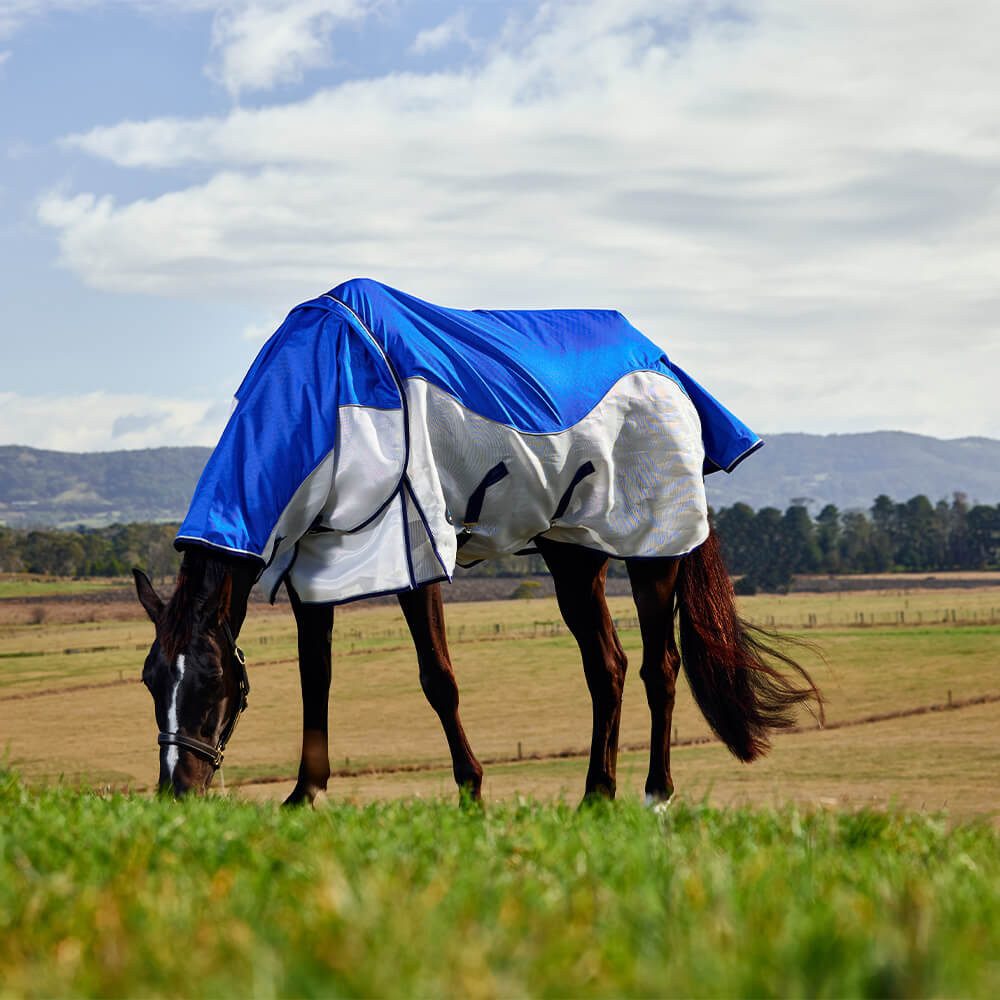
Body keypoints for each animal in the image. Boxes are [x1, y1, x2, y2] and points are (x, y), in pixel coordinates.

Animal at [132, 278, 822, 801]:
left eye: (212, 680)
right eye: (151, 680)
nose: (178, 793)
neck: (325, 395)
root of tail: (664, 365)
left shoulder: (413, 552)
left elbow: (438, 678)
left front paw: (470, 791)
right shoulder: (315, 568)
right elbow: (315, 678)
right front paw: (306, 795)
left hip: (654, 551)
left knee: (660, 666)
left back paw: (656, 792)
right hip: (574, 555)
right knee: (608, 667)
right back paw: (596, 796)